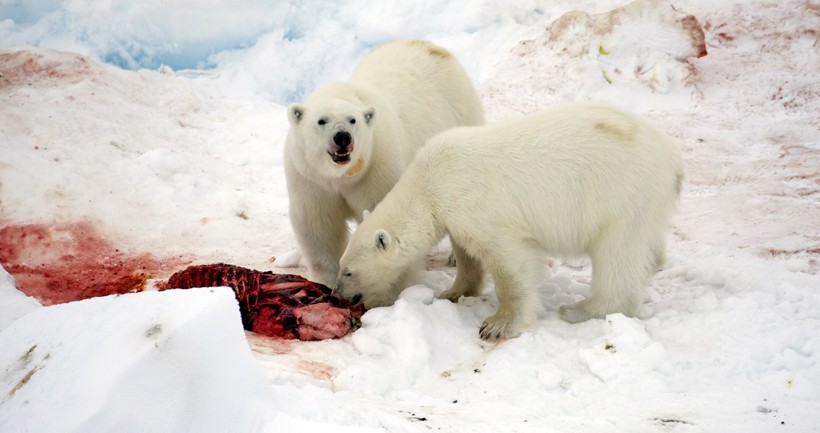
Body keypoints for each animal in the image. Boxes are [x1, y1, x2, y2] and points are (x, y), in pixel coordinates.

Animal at [286, 38, 484, 286]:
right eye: (322, 120)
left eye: (353, 120)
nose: (343, 137)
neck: (344, 176)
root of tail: (430, 46)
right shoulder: (310, 179)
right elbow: (319, 226)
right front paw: (326, 282)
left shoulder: (377, 166)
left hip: (463, 115)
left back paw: (454, 257)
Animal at [330, 101, 684, 338]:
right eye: (340, 267)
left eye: (348, 272)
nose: (335, 295)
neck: (428, 183)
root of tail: (672, 157)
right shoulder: (454, 213)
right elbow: (467, 252)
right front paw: (453, 292)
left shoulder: (477, 205)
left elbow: (510, 261)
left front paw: (497, 324)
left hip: (620, 193)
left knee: (617, 254)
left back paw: (580, 310)